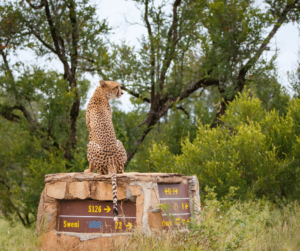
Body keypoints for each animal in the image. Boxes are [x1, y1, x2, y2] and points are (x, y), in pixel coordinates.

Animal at [84, 80, 126, 222]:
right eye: (116, 87)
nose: (122, 92)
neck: (101, 94)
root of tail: (111, 160)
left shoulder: (90, 132)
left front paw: (89, 170)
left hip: (90, 145)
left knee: (102, 172)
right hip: (119, 142)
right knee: (120, 170)